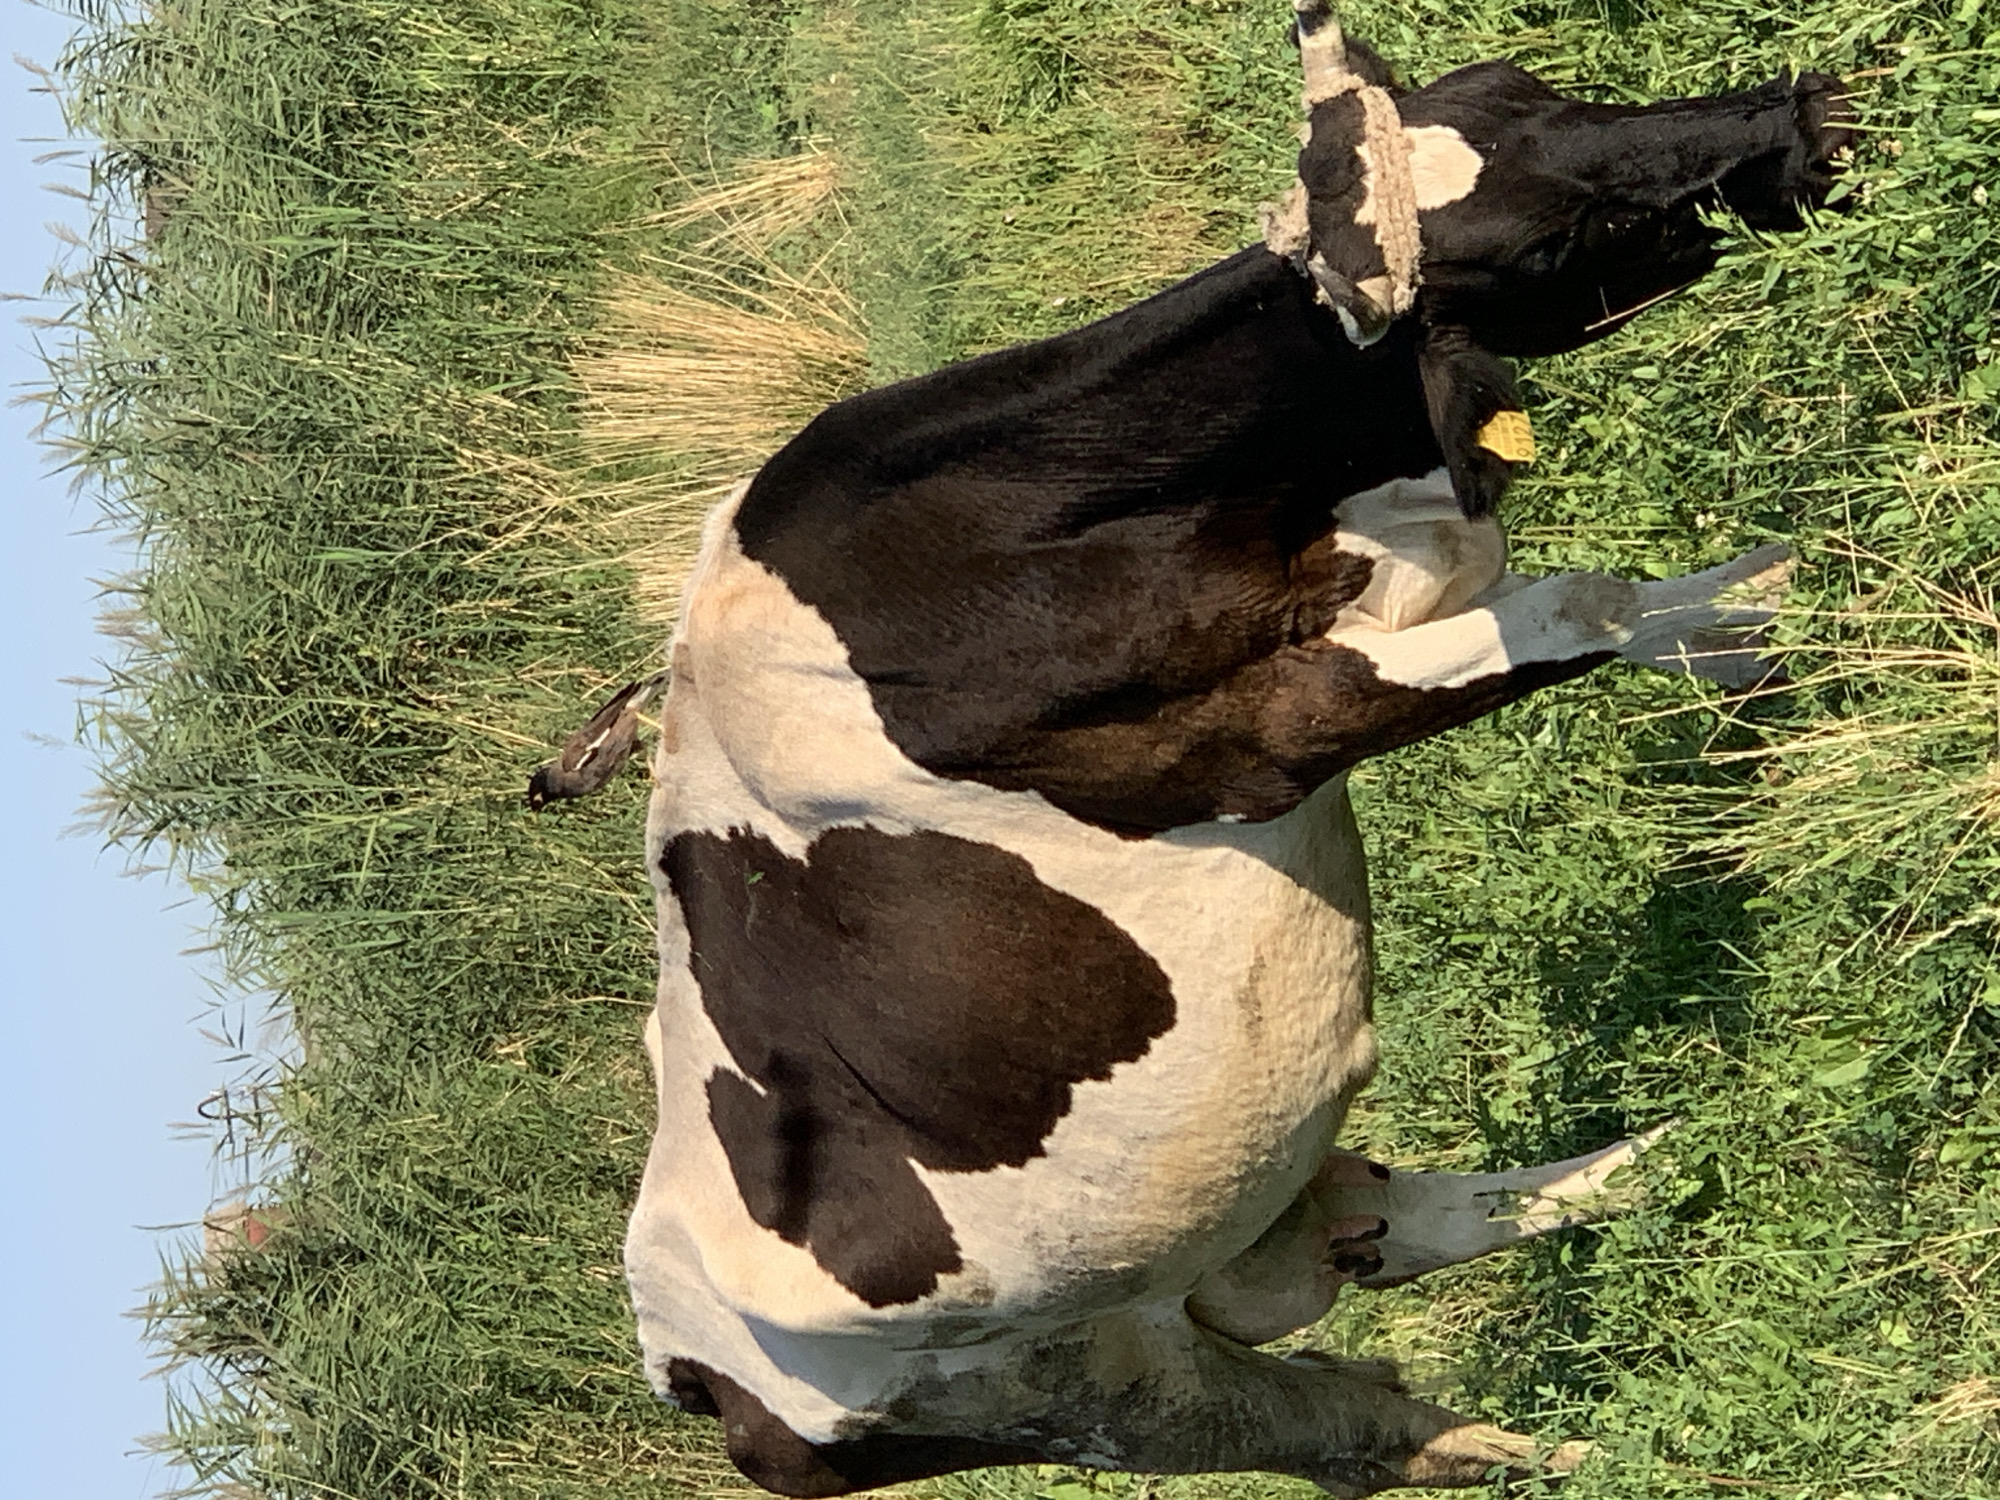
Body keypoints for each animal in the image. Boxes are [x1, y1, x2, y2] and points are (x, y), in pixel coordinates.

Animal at [618, 5, 1851, 1495]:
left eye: (1537, 91)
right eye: (1547, 243)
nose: (1815, 120)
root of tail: (686, 1367)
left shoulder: (1394, 563)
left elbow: (1615, 604)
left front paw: (1783, 606)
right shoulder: (1280, 729)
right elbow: (1587, 603)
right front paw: (1804, 619)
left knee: (1402, 1221)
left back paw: (1673, 1159)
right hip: (1091, 1387)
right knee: (1345, 1434)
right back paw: (1562, 1446)